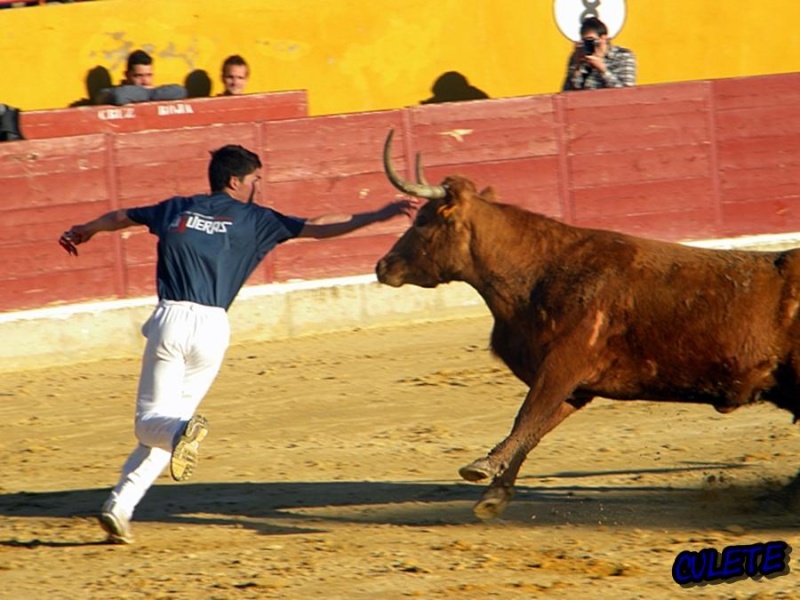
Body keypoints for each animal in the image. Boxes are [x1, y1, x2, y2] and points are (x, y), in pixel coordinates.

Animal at [376, 130, 800, 520]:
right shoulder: (574, 387)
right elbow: (534, 429)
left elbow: (527, 416)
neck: (541, 272)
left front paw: (481, 468)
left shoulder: (563, 364)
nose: (383, 266)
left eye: (423, 220)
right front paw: (494, 496)